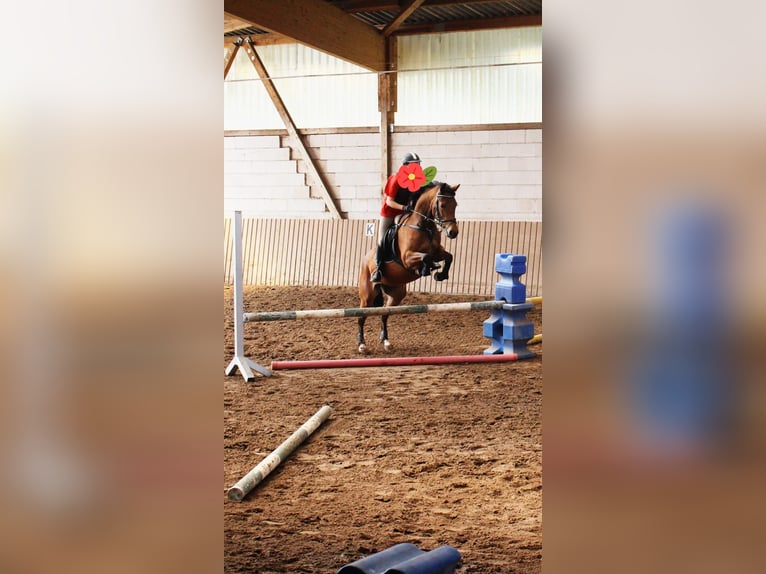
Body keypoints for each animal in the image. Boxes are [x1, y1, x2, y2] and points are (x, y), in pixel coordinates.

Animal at [356, 182, 460, 354]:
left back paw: (386, 342)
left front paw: (440, 275)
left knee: (384, 314)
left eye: (456, 205)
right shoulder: (407, 258)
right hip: (367, 295)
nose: (453, 232)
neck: (423, 226)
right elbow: (426, 257)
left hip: (396, 294)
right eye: (443, 205)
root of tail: (365, 259)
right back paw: (362, 345)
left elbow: (448, 256)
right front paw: (425, 269)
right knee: (361, 316)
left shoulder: (438, 252)